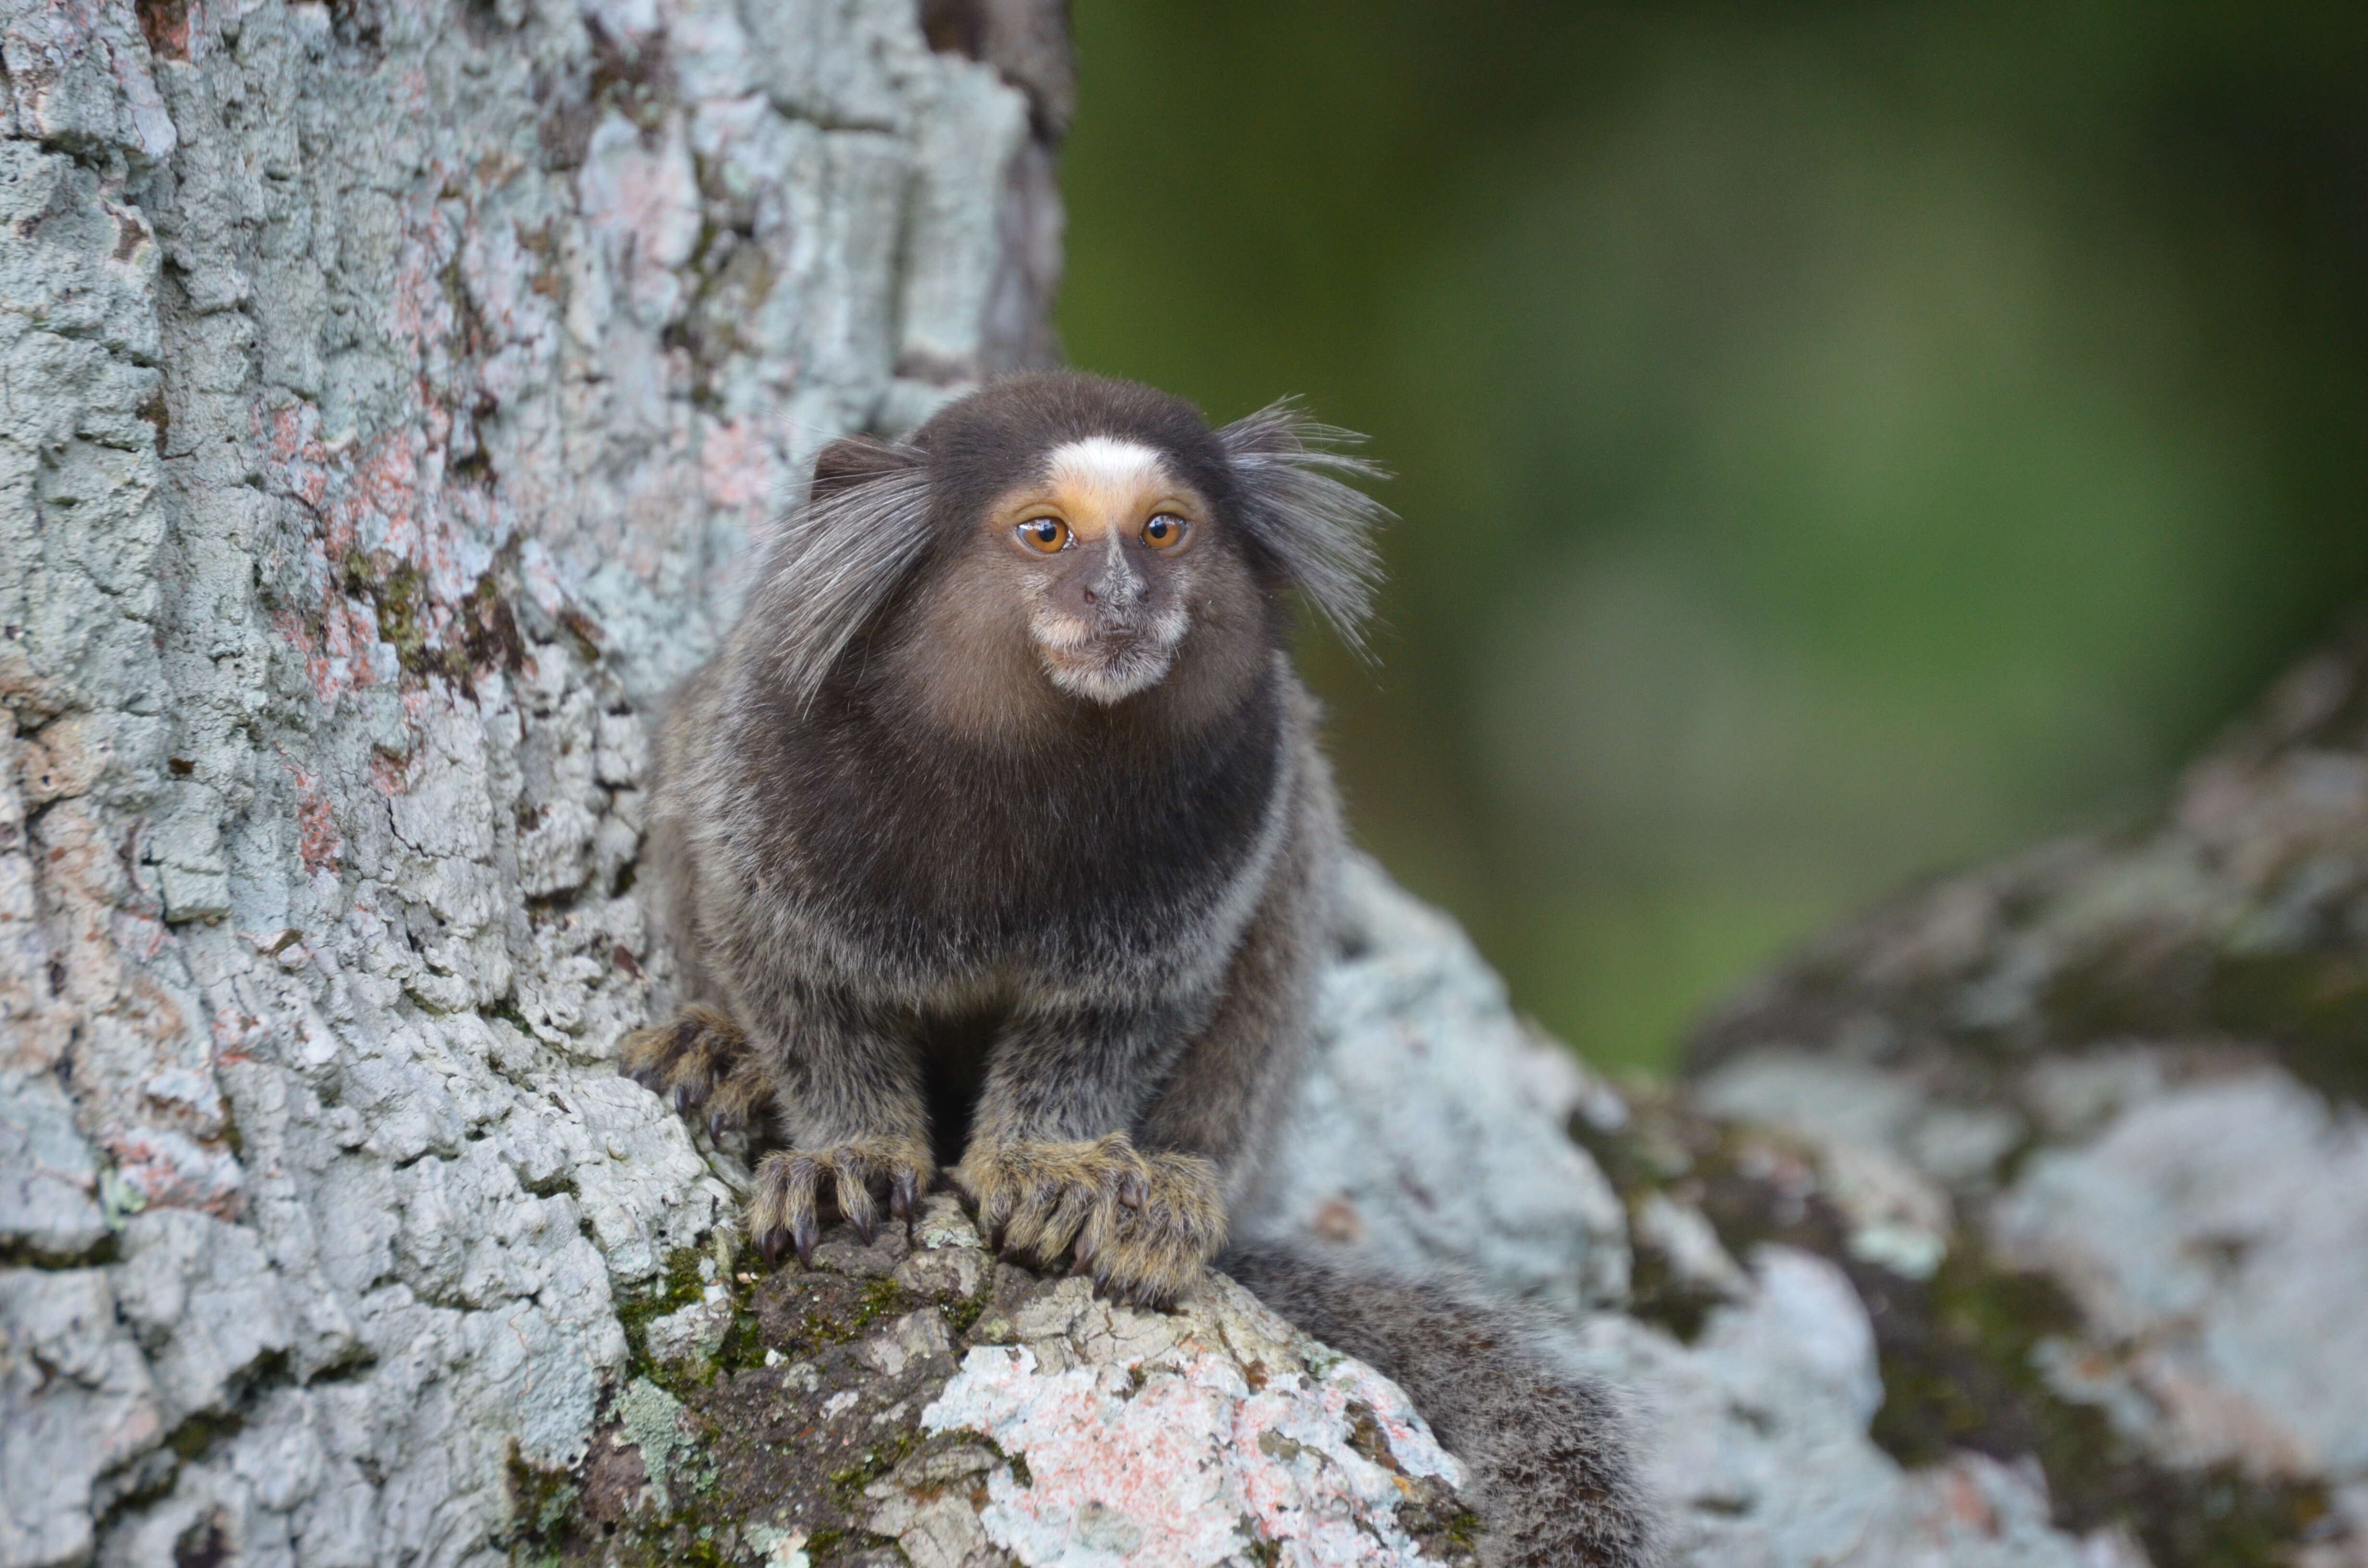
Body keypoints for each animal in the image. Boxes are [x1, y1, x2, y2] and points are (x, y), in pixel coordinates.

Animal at [629, 374, 1667, 1563]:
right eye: (1046, 534)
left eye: (1164, 531)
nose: (1120, 591)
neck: (1036, 766)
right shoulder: (769, 763)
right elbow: (794, 976)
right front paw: (847, 1149)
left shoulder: (1231, 805)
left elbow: (1117, 1012)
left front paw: (1053, 1170)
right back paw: (723, 1054)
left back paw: (1167, 1201)